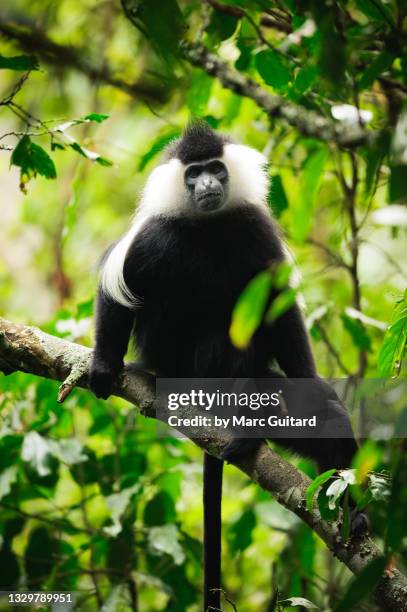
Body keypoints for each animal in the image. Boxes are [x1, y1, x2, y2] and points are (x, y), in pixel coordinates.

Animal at [91, 123, 364, 612]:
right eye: (192, 174)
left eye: (216, 169)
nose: (208, 185)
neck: (209, 228)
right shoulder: (153, 235)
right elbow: (117, 288)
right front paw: (104, 366)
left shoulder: (255, 230)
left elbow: (280, 310)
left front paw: (311, 386)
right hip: (176, 358)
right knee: (215, 336)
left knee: (320, 415)